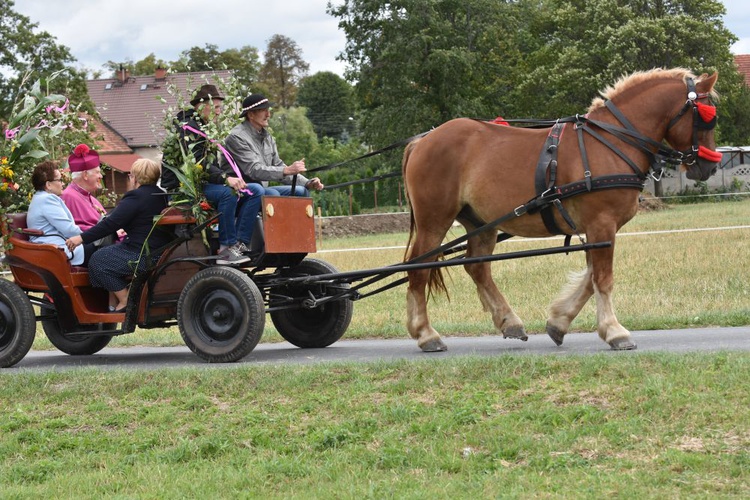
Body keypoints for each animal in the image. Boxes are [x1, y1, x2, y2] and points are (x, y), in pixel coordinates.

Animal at [406, 67, 724, 352]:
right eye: (706, 118)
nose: (708, 167)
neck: (612, 141)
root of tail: (423, 140)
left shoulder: (596, 230)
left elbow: (591, 279)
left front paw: (559, 323)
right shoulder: (602, 224)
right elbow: (602, 279)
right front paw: (615, 332)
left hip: (480, 222)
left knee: (477, 267)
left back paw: (509, 321)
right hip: (434, 220)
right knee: (418, 267)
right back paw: (426, 334)